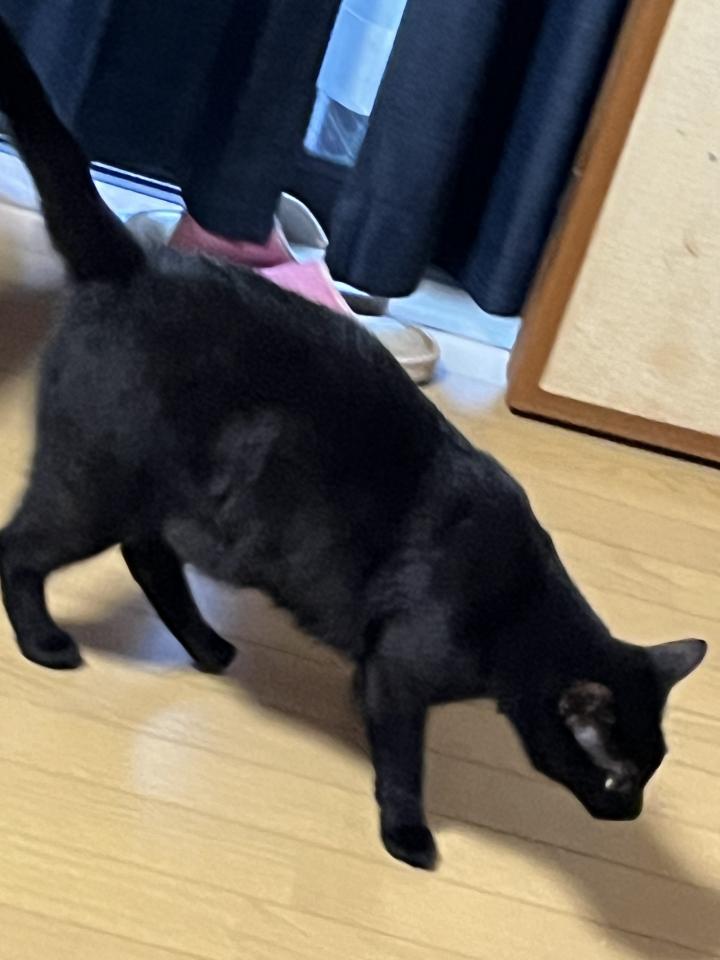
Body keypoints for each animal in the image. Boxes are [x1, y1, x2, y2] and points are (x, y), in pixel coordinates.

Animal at [0, 18, 706, 870]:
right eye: (615, 776)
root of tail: (134, 263)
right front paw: (409, 834)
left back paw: (207, 646)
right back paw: (45, 642)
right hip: (97, 484)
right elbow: (405, 758)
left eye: (649, 773)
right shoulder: (403, 668)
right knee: (20, 548)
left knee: (149, 556)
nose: (627, 815)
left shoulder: (384, 663)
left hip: (169, 497)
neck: (519, 610)